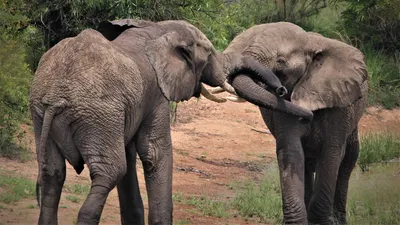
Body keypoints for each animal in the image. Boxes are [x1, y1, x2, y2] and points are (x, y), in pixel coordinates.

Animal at [29, 19, 314, 225]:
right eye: (209, 55)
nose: (282, 91)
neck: (158, 29)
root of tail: (56, 96)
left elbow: (132, 153)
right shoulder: (156, 93)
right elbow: (154, 153)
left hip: (42, 113)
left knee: (52, 174)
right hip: (95, 112)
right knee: (109, 172)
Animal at [209, 21, 368, 225]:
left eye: (281, 61)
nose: (280, 89)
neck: (310, 42)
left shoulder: (338, 107)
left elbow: (331, 153)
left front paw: (323, 221)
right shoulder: (282, 107)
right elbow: (291, 152)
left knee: (349, 158)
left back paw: (339, 219)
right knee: (308, 162)